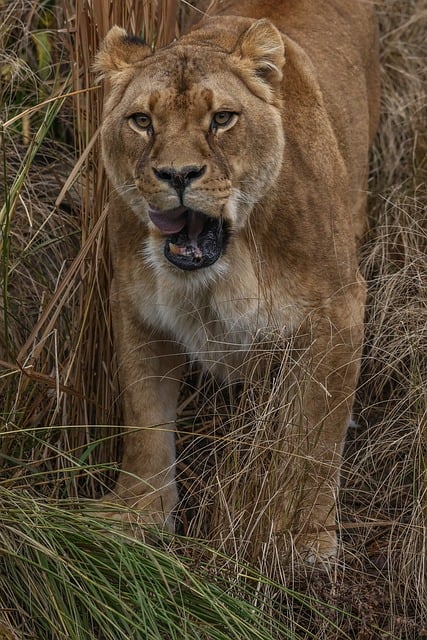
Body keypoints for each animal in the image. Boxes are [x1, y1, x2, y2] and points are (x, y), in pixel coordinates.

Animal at [95, 0, 380, 561]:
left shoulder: (338, 311)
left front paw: (302, 535)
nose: (177, 175)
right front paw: (135, 516)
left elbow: (314, 435)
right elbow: (144, 419)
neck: (224, 269)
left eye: (222, 119)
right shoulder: (137, 308)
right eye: (142, 121)